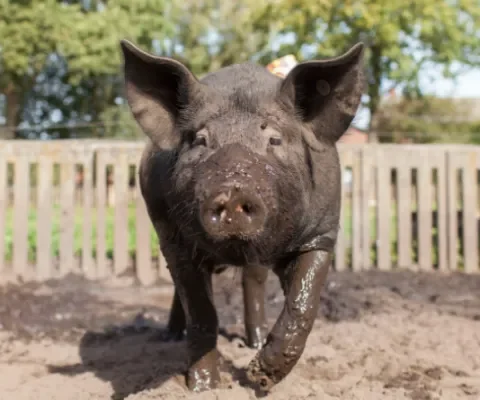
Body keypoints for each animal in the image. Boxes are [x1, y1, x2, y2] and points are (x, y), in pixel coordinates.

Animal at [119, 39, 364, 390]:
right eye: (200, 140)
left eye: (274, 138)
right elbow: (201, 311)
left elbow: (303, 304)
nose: (232, 192)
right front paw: (204, 387)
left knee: (254, 280)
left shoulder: (321, 233)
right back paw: (169, 337)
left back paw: (253, 341)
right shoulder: (175, 240)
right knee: (182, 291)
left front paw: (259, 377)